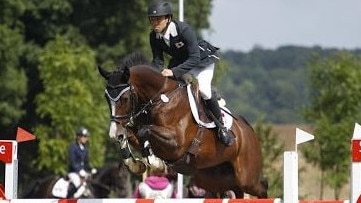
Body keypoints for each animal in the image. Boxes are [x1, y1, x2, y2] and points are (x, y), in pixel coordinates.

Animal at [97, 52, 268, 198]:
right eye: (106, 98)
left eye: (124, 99)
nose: (114, 133)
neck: (161, 98)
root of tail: (250, 130)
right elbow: (132, 134)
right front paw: (133, 162)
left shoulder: (176, 143)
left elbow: (144, 131)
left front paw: (156, 162)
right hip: (214, 179)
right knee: (234, 191)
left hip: (246, 178)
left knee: (262, 187)